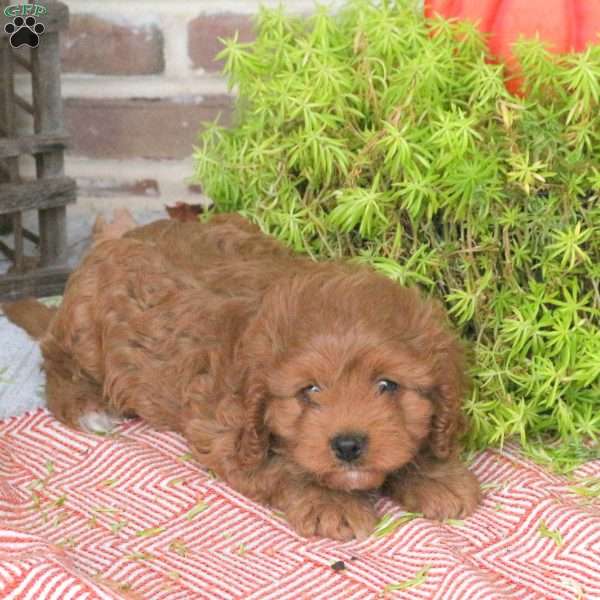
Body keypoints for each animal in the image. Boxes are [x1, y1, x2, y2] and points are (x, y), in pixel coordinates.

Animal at [3, 213, 478, 540]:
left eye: (386, 385)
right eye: (310, 390)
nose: (347, 445)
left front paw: (435, 475)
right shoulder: (223, 430)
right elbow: (283, 466)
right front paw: (330, 501)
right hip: (85, 333)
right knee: (55, 360)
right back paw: (87, 407)